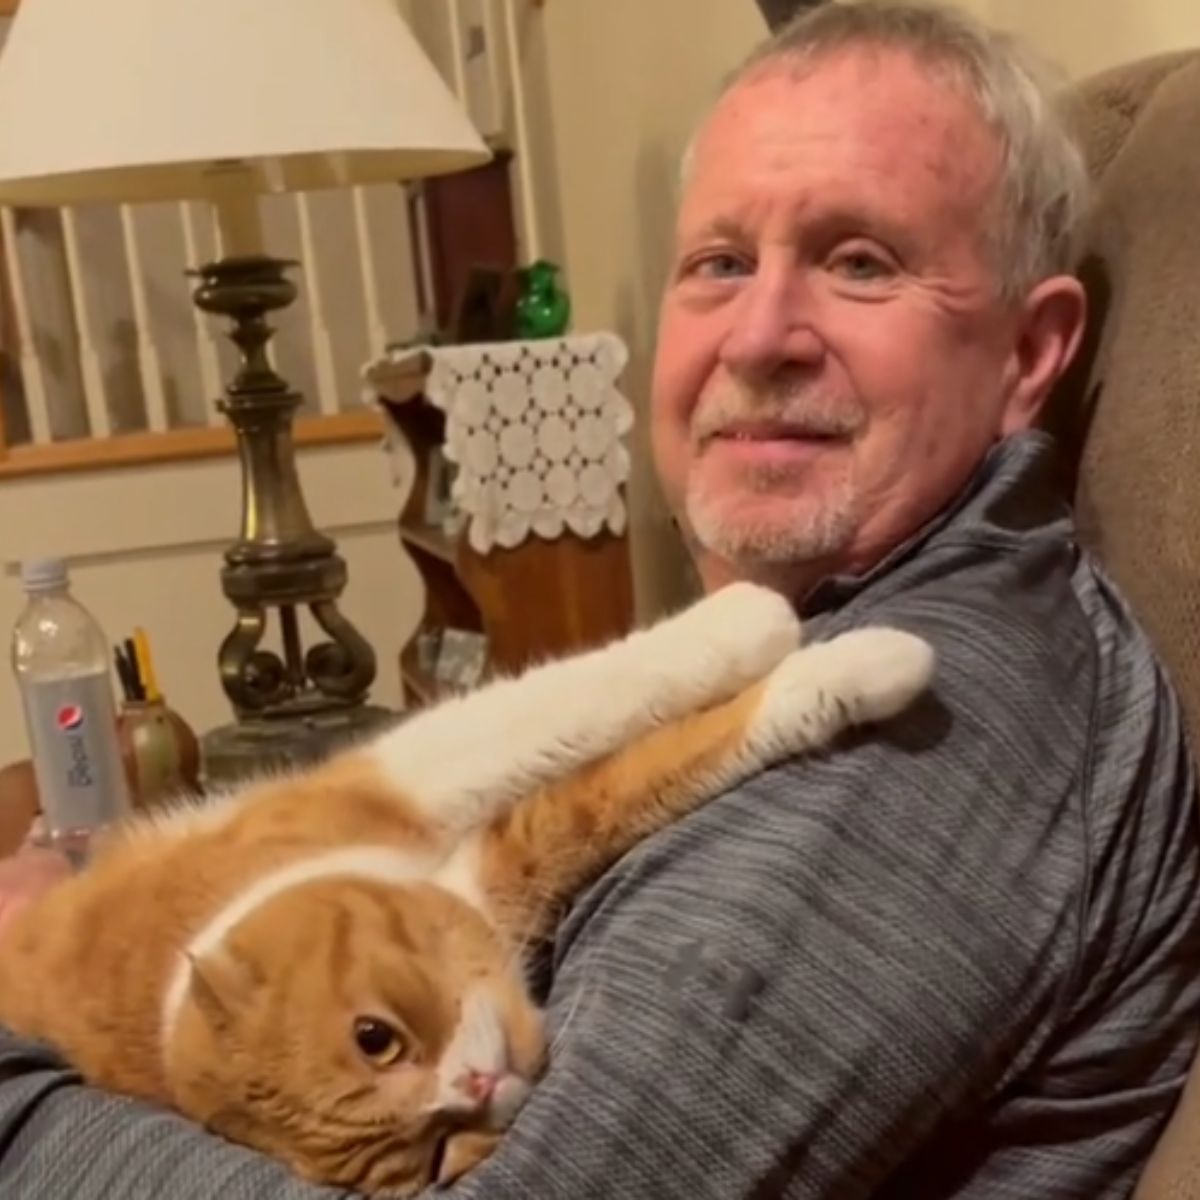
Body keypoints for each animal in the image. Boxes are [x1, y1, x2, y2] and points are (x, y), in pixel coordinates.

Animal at [0, 580, 931, 1190]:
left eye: (374, 1036)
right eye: (435, 1154)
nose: (475, 1089)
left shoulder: (395, 782)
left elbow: (547, 709)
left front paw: (758, 615)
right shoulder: (501, 857)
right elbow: (622, 772)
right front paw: (856, 662)